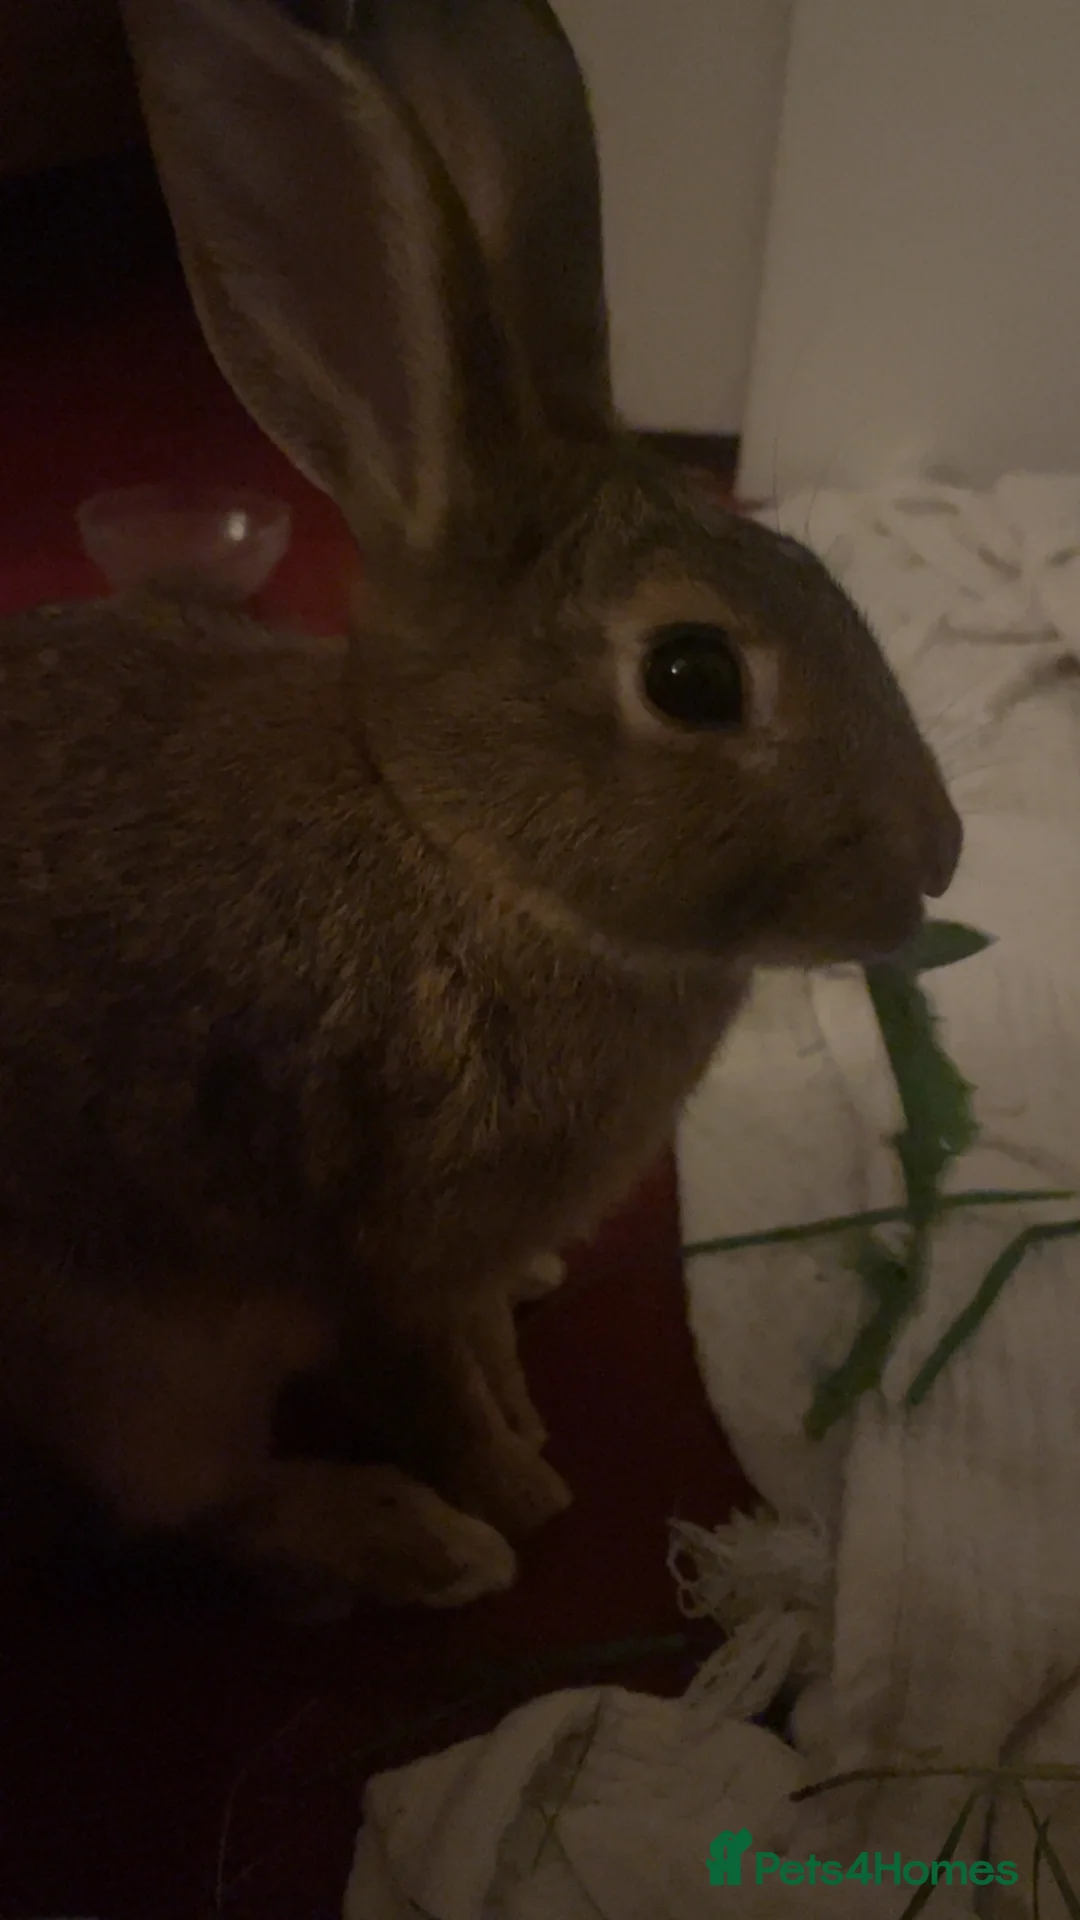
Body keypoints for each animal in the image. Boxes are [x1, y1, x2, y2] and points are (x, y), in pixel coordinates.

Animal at [0, 0, 962, 1613]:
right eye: (693, 676)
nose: (936, 862)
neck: (454, 842)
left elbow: (480, 1349)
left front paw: (524, 1398)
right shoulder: (369, 1254)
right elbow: (428, 1388)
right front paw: (522, 1494)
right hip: (129, 1369)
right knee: (185, 1501)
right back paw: (417, 1544)